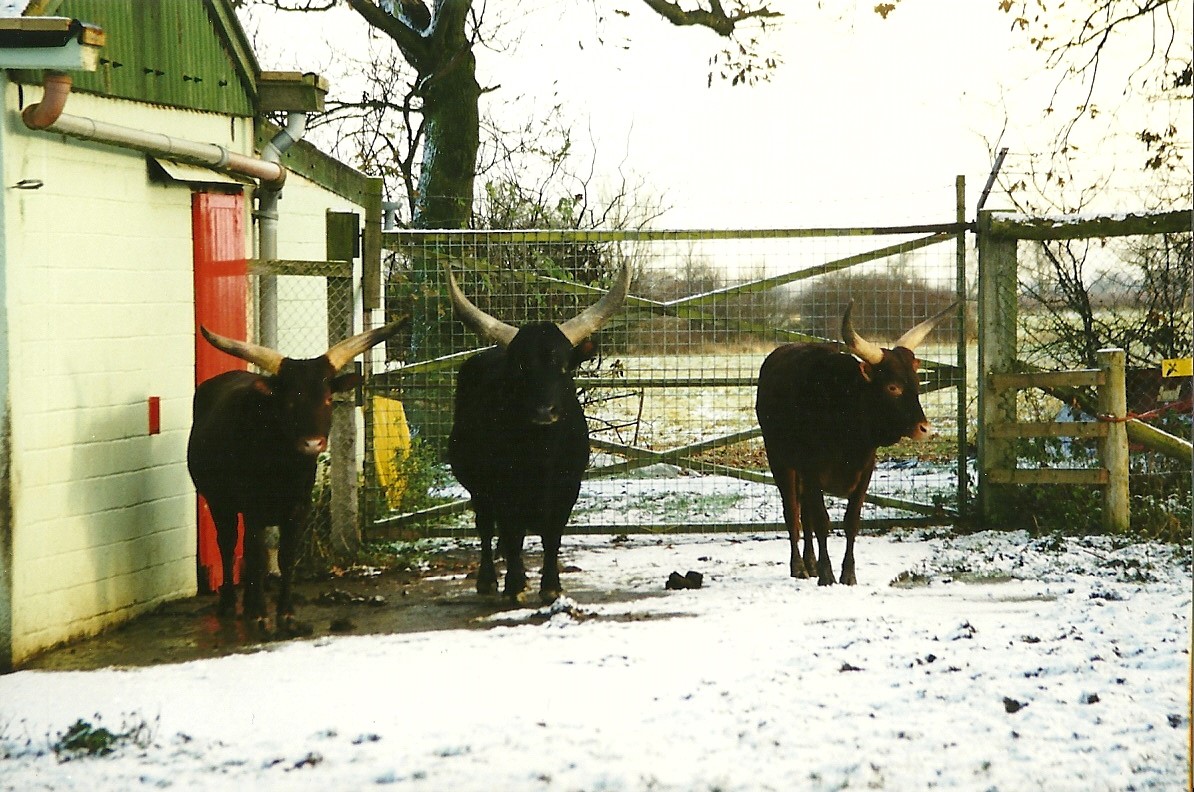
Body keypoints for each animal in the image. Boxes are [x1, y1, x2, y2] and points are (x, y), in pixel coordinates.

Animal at [187, 318, 406, 634]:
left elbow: (286, 557)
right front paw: (259, 614)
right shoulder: (253, 508)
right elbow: (255, 555)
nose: (312, 443)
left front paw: (285, 613)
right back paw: (229, 603)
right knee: (228, 545)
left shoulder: (298, 508)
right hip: (219, 502)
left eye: (328, 399)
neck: (283, 468)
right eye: (289, 401)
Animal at [445, 263, 631, 604]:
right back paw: (488, 580)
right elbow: (512, 533)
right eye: (521, 367)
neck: (538, 456)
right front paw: (515, 585)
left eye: (564, 366)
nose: (544, 411)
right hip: (478, 491)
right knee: (486, 527)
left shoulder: (567, 489)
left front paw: (550, 586)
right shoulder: (503, 491)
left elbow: (551, 536)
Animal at [755, 300, 956, 586]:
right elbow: (822, 522)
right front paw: (827, 575)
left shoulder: (865, 470)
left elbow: (851, 522)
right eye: (892, 387)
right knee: (793, 513)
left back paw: (810, 563)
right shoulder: (812, 470)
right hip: (781, 460)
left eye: (917, 383)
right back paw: (800, 567)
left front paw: (848, 574)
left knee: (805, 514)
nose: (924, 429)